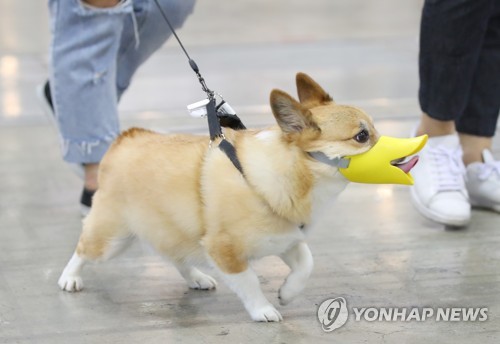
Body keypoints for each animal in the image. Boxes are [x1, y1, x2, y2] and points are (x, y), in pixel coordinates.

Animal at [58, 73, 386, 322]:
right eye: (361, 136)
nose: (396, 157)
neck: (291, 173)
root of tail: (126, 138)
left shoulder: (285, 239)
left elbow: (306, 263)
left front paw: (288, 292)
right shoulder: (224, 249)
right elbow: (249, 280)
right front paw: (263, 309)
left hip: (176, 232)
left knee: (176, 256)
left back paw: (196, 277)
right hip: (112, 239)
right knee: (83, 249)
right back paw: (70, 278)